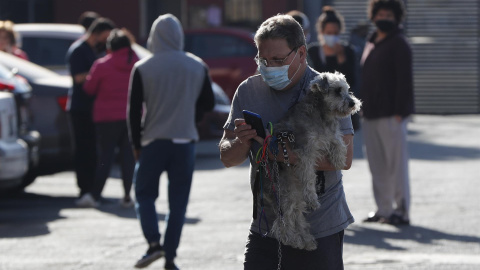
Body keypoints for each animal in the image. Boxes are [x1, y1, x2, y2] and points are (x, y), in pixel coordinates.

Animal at [270, 71, 360, 251]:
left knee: (297, 217)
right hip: (288, 193)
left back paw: (306, 240)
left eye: (347, 89)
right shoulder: (306, 152)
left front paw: (338, 159)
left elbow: (339, 143)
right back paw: (293, 239)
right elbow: (309, 177)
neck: (322, 114)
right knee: (283, 222)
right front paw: (312, 197)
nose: (352, 103)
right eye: (337, 91)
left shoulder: (331, 135)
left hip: (296, 196)